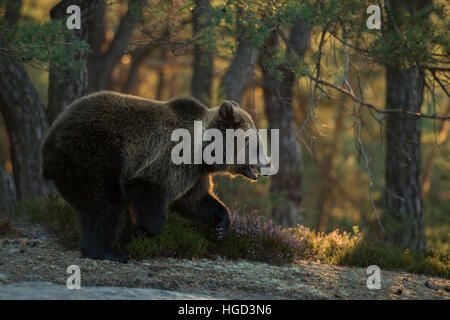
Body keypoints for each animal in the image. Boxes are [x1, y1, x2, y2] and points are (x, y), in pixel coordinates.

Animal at [41, 91, 270, 262]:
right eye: (258, 145)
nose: (269, 164)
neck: (204, 153)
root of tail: (50, 137)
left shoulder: (194, 174)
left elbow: (194, 201)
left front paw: (221, 224)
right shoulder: (168, 161)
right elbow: (150, 193)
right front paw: (134, 234)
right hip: (94, 153)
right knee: (104, 203)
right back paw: (107, 251)